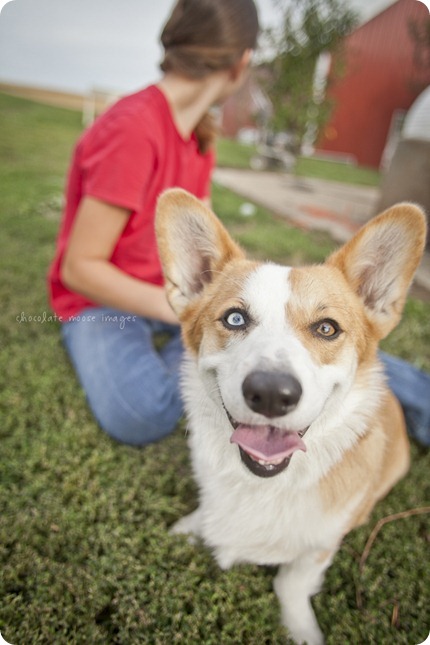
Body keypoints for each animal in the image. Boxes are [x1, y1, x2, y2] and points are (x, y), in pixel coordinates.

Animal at [155, 189, 426, 640]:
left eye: (327, 328)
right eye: (235, 318)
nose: (270, 394)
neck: (262, 486)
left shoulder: (321, 546)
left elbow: (292, 582)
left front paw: (302, 631)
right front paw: (189, 528)